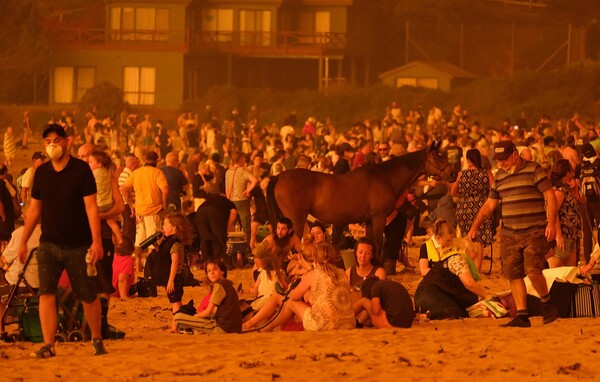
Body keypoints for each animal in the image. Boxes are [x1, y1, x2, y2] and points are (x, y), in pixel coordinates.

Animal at [268, 142, 454, 262]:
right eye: (437, 156)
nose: (452, 173)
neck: (386, 178)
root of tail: (279, 177)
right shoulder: (379, 218)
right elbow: (377, 245)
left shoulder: (370, 221)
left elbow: (370, 244)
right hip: (296, 221)